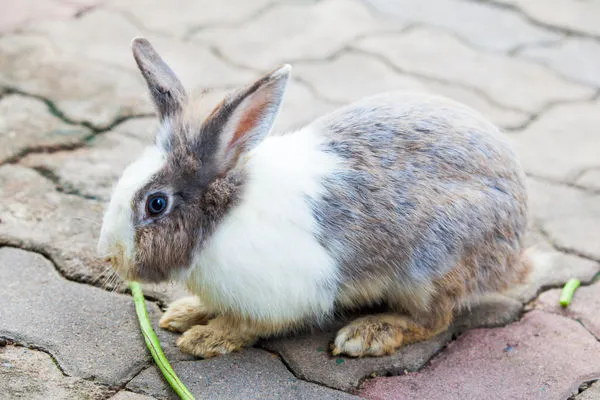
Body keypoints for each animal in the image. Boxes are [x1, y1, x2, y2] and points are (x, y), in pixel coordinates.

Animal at [98, 36, 528, 356]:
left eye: (156, 203)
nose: (108, 256)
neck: (221, 218)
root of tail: (516, 251)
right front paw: (183, 314)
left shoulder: (279, 296)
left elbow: (246, 324)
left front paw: (204, 338)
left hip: (428, 270)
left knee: (435, 320)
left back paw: (367, 335)